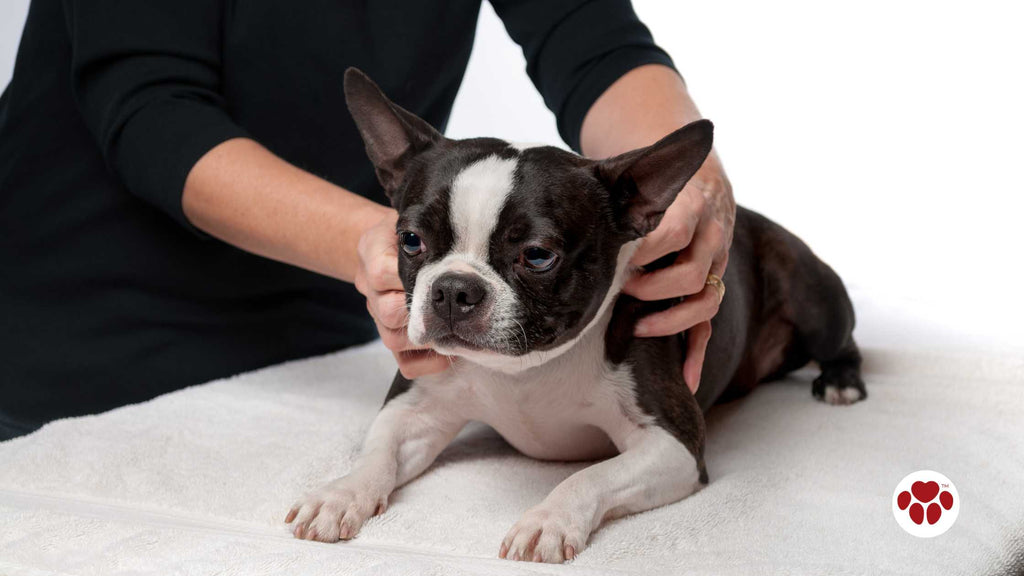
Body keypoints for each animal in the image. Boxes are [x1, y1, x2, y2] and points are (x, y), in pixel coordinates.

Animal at [286, 68, 864, 561]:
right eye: (410, 241)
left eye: (538, 255)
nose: (453, 288)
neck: (523, 371)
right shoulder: (415, 406)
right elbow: (376, 451)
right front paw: (341, 493)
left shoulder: (672, 444)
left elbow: (590, 476)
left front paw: (548, 519)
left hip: (809, 290)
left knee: (843, 339)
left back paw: (841, 382)